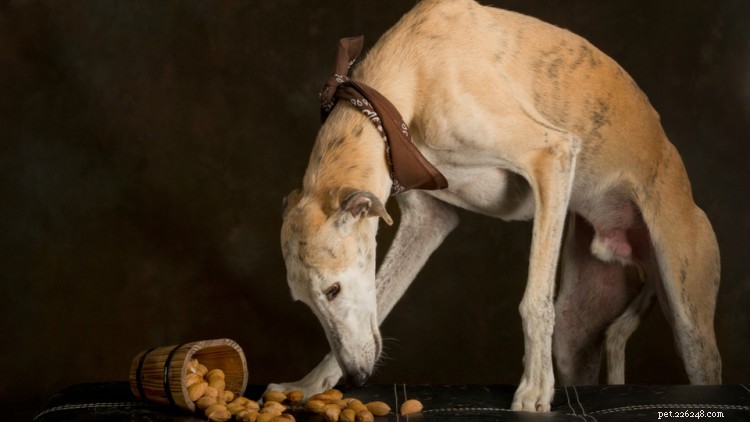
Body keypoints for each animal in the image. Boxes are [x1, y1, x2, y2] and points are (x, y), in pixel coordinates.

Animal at [274, 0, 724, 410]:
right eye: (305, 301)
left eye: (332, 289)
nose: (358, 377)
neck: (412, 74)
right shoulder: (429, 218)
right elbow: (381, 300)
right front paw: (311, 384)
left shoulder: (552, 155)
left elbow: (534, 301)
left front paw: (535, 390)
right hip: (578, 331)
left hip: (689, 316)